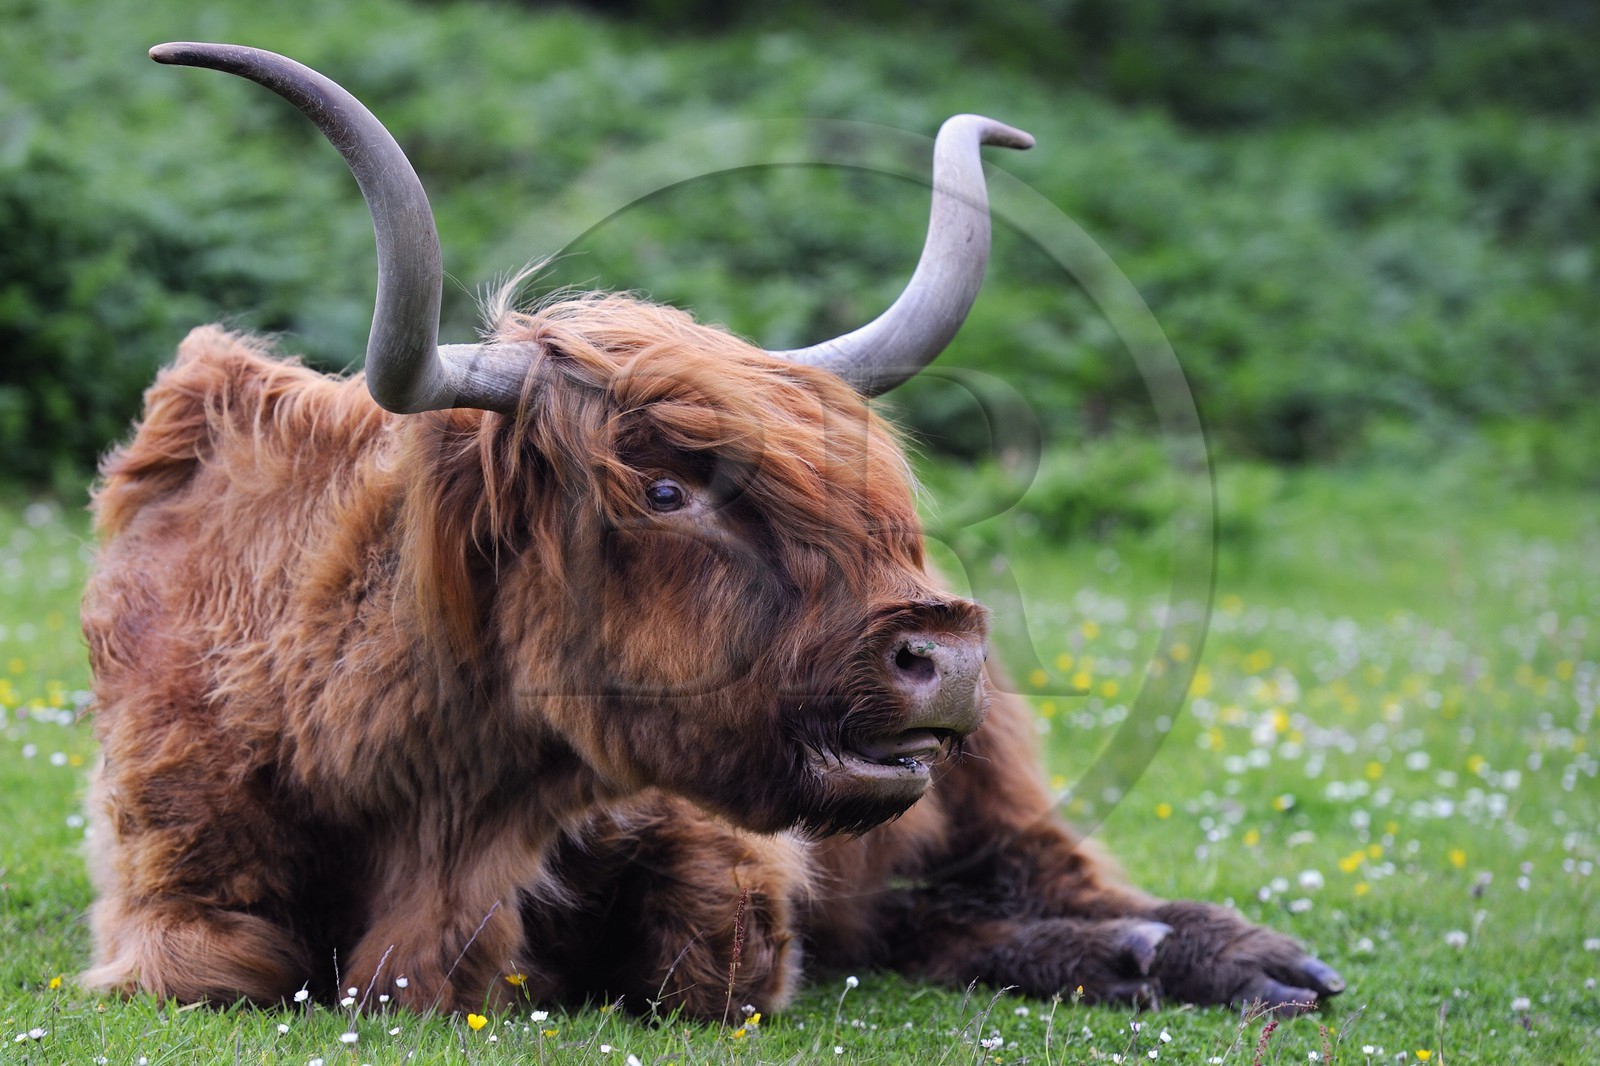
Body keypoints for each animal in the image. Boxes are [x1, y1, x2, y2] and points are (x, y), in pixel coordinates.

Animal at [80, 42, 1344, 1020]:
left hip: (987, 777)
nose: (941, 650)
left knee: (1035, 871)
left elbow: (714, 961)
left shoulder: (729, 855)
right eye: (661, 492)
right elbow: (220, 969)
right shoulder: (170, 888)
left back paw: (1240, 959)